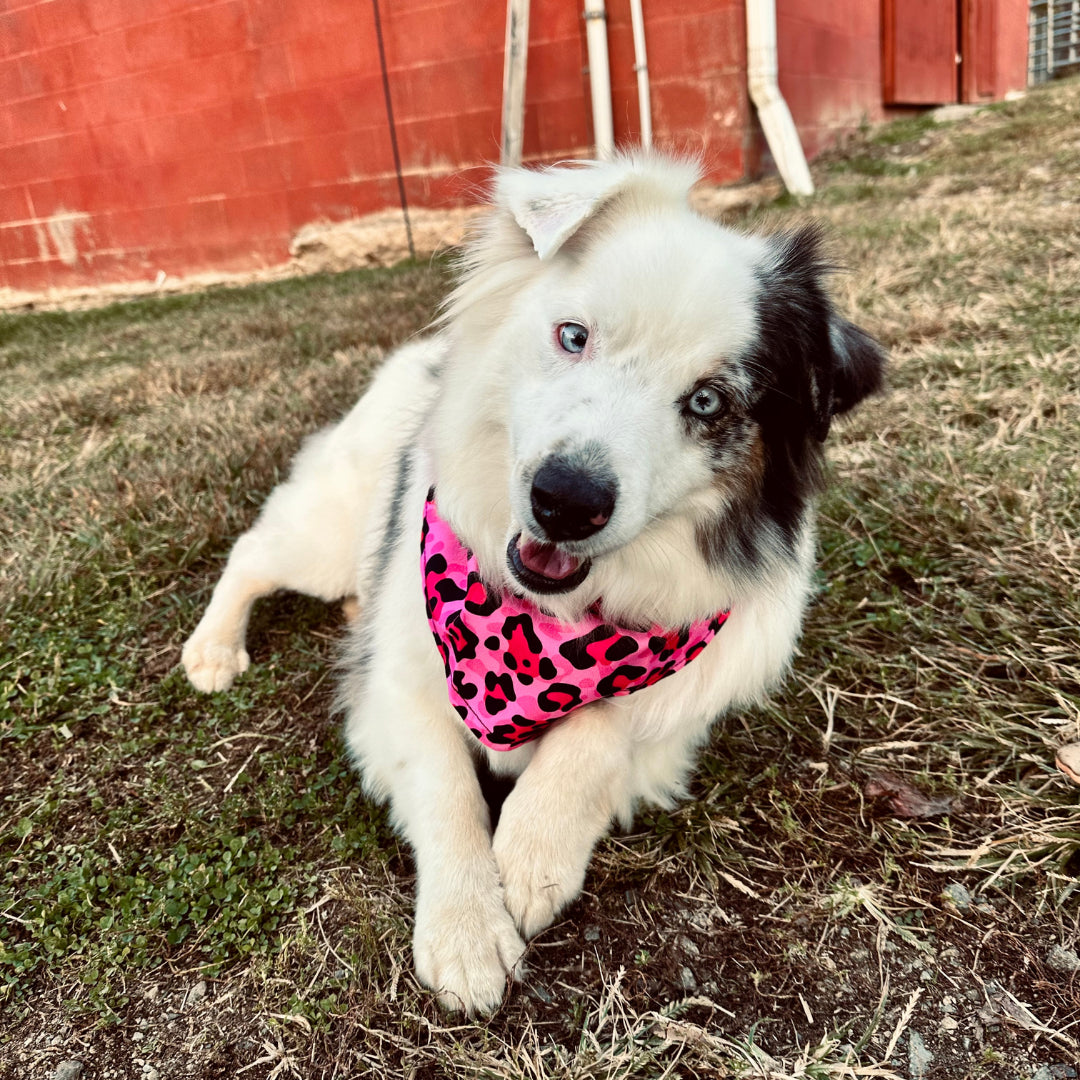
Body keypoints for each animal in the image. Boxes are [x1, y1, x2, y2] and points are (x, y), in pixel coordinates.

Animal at [181, 152, 881, 1010]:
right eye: (572, 337)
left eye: (708, 400)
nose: (566, 501)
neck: (543, 622)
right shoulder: (400, 687)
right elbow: (446, 787)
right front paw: (465, 927)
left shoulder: (683, 696)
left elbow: (602, 728)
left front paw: (529, 856)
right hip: (329, 531)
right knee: (253, 551)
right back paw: (215, 650)